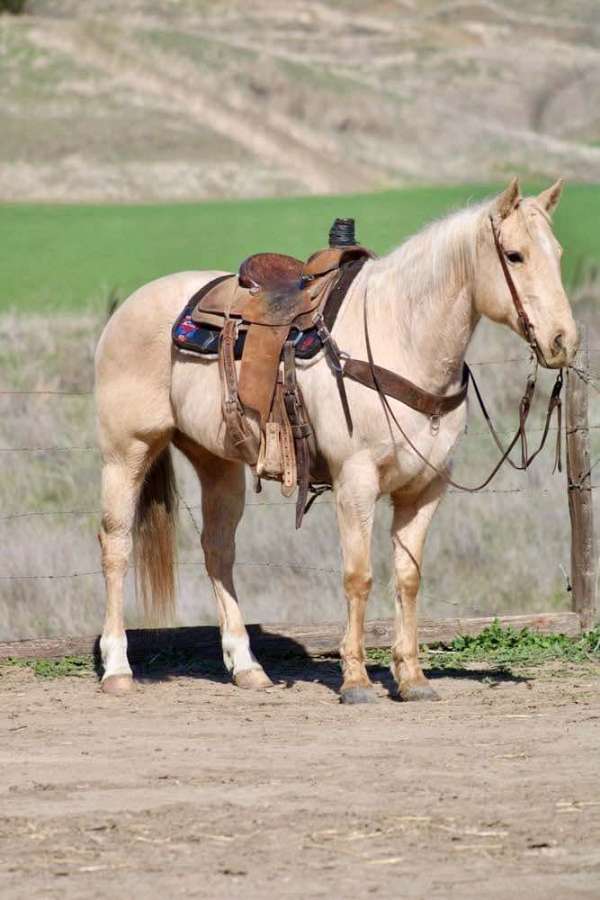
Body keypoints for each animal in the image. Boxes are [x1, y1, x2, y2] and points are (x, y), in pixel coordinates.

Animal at [94, 178, 576, 704]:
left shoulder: (425, 489)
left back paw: (247, 667)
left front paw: (412, 678)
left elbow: (408, 579)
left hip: (216, 461)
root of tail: (129, 307)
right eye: (514, 255)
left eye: (557, 253)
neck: (399, 337)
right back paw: (117, 668)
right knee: (116, 544)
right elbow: (358, 577)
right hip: (127, 451)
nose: (563, 341)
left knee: (217, 549)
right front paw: (357, 680)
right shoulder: (356, 483)